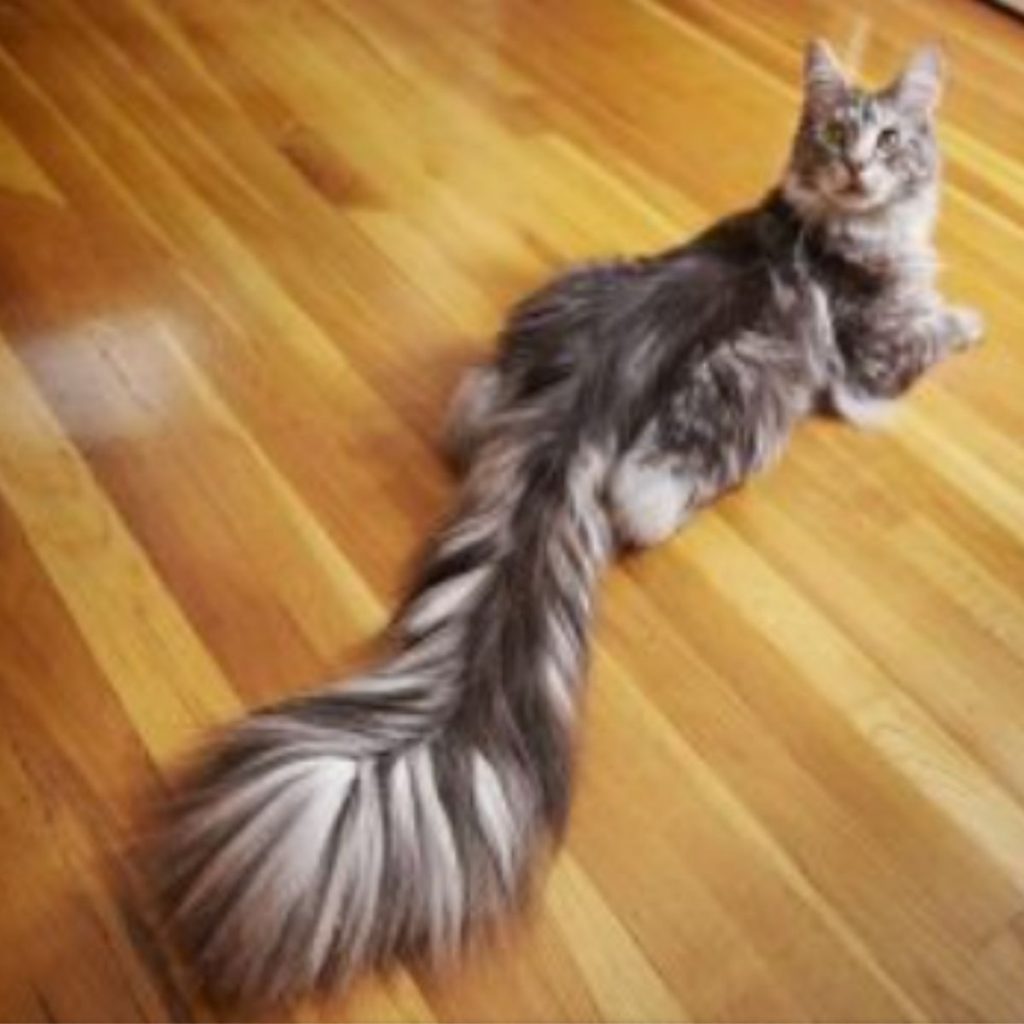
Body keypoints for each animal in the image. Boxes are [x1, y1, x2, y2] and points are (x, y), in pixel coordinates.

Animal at [151, 37, 983, 999]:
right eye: (837, 133)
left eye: (889, 138)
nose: (856, 170)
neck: (843, 227)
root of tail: (587, 397)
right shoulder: (874, 354)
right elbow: (935, 327)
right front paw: (975, 316)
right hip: (745, 390)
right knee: (647, 500)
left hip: (552, 314)